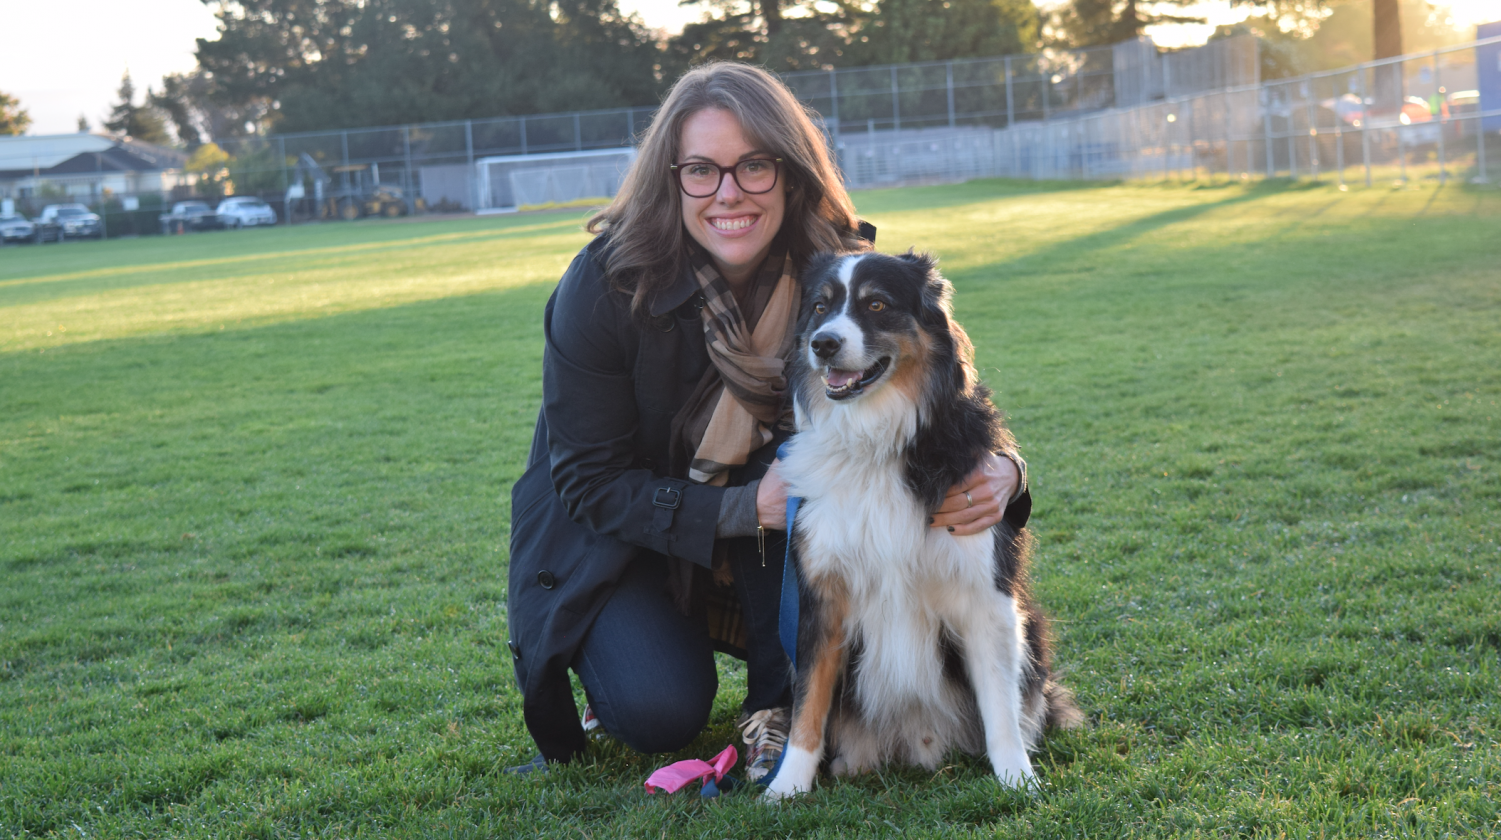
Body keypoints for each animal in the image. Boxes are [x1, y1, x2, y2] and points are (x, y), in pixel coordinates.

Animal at [762, 250, 1080, 798]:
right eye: (820, 306)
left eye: (876, 304)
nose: (823, 343)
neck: (875, 440)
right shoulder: (820, 599)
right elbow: (809, 703)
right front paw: (786, 787)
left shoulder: (985, 596)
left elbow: (1000, 706)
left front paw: (1017, 779)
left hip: (1031, 624)